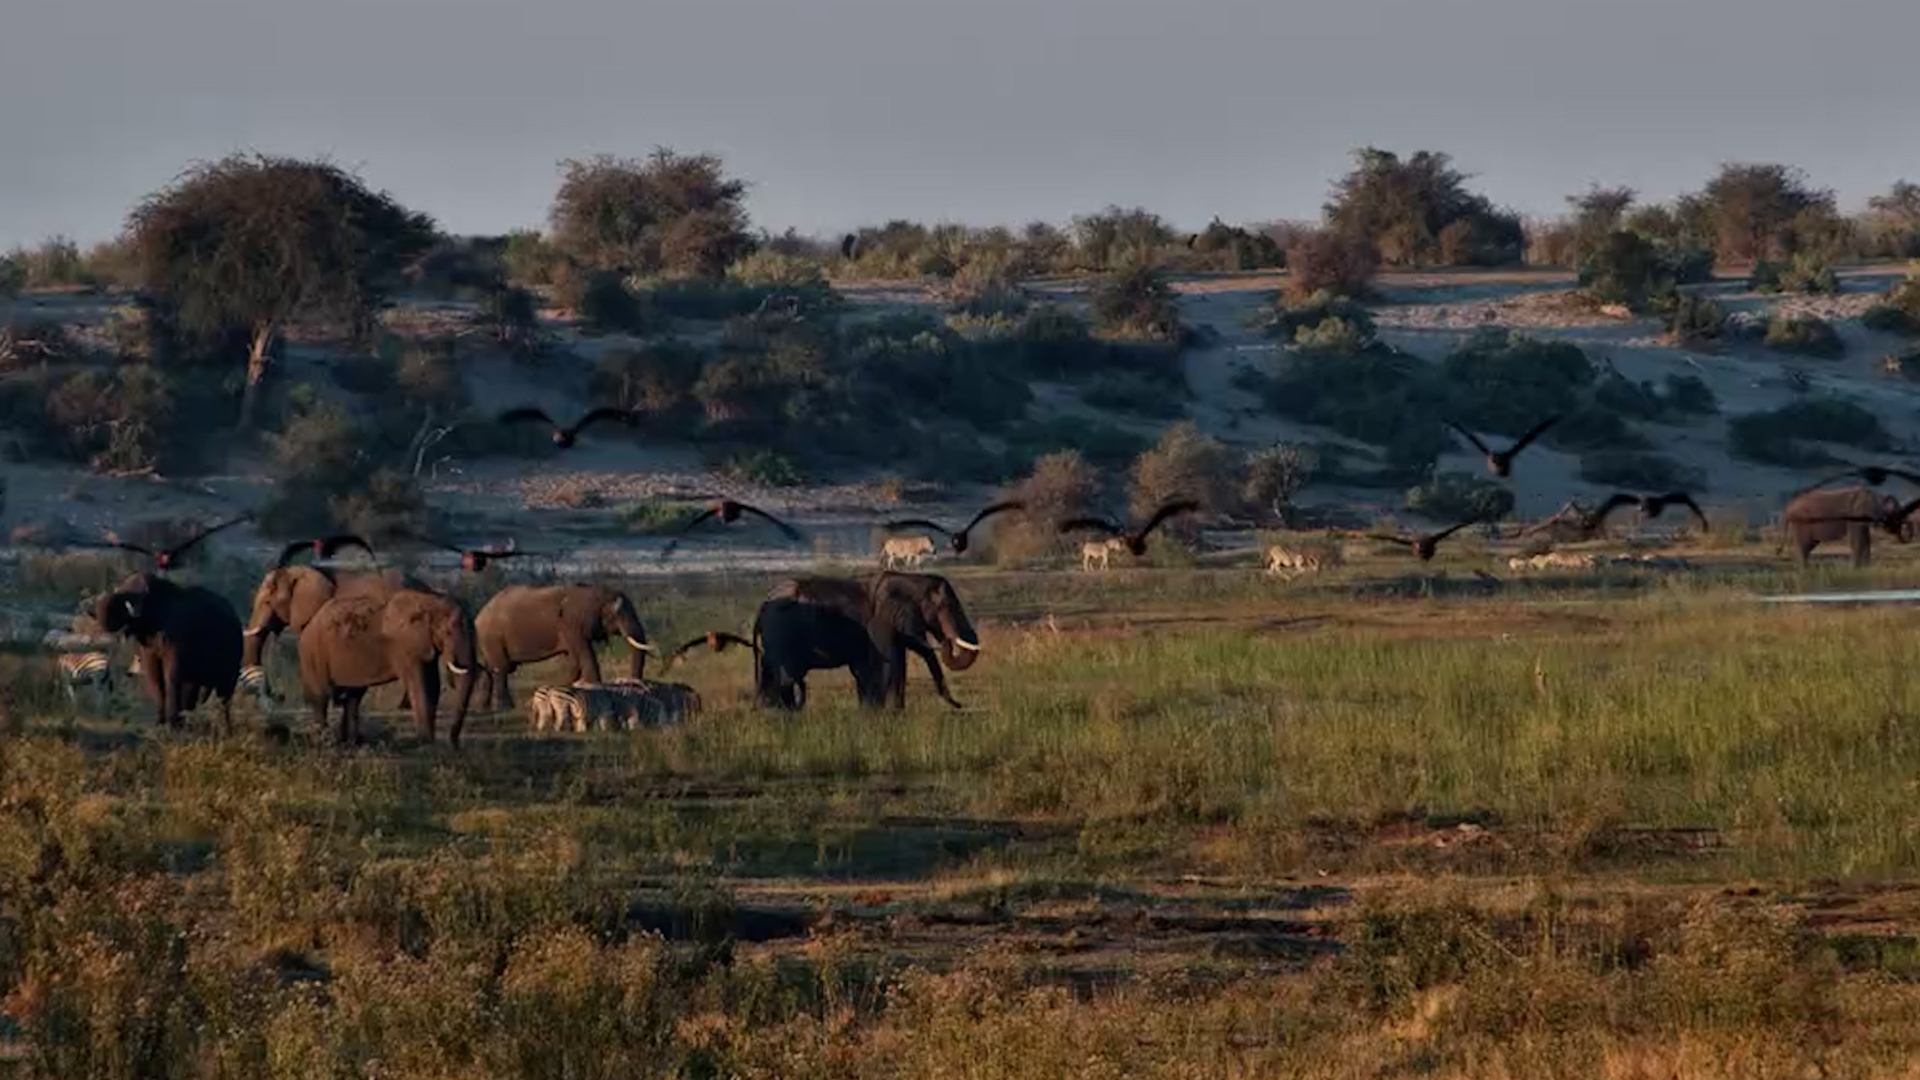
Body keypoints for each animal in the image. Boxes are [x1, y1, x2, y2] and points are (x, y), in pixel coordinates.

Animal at [94, 572, 243, 730]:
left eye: (130, 597)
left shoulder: (178, 635)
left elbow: (171, 673)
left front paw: (172, 725)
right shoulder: (149, 645)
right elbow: (154, 674)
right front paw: (160, 724)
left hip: (234, 655)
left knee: (224, 694)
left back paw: (226, 728)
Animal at [297, 588, 479, 746]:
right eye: (448, 632)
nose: (454, 743)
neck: (431, 600)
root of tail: (309, 623)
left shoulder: (425, 644)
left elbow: (433, 685)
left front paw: (430, 742)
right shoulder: (405, 646)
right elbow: (419, 685)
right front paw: (425, 742)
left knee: (353, 696)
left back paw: (352, 743)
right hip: (312, 653)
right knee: (321, 695)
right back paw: (325, 741)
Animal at [472, 584, 654, 709]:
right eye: (618, 614)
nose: (638, 689)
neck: (597, 592)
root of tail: (481, 613)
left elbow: (574, 660)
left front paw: (565, 690)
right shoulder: (572, 625)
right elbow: (585, 655)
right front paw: (594, 688)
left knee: (489, 668)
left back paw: (483, 708)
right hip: (492, 637)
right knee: (500, 668)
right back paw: (505, 707)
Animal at [1781, 485, 1911, 567]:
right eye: (1894, 513)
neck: (1876, 495)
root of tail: (1789, 505)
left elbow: (1865, 539)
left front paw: (1865, 568)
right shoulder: (1855, 516)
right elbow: (1856, 540)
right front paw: (1855, 569)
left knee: (1807, 547)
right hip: (1801, 522)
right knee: (1804, 547)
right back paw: (1804, 571)